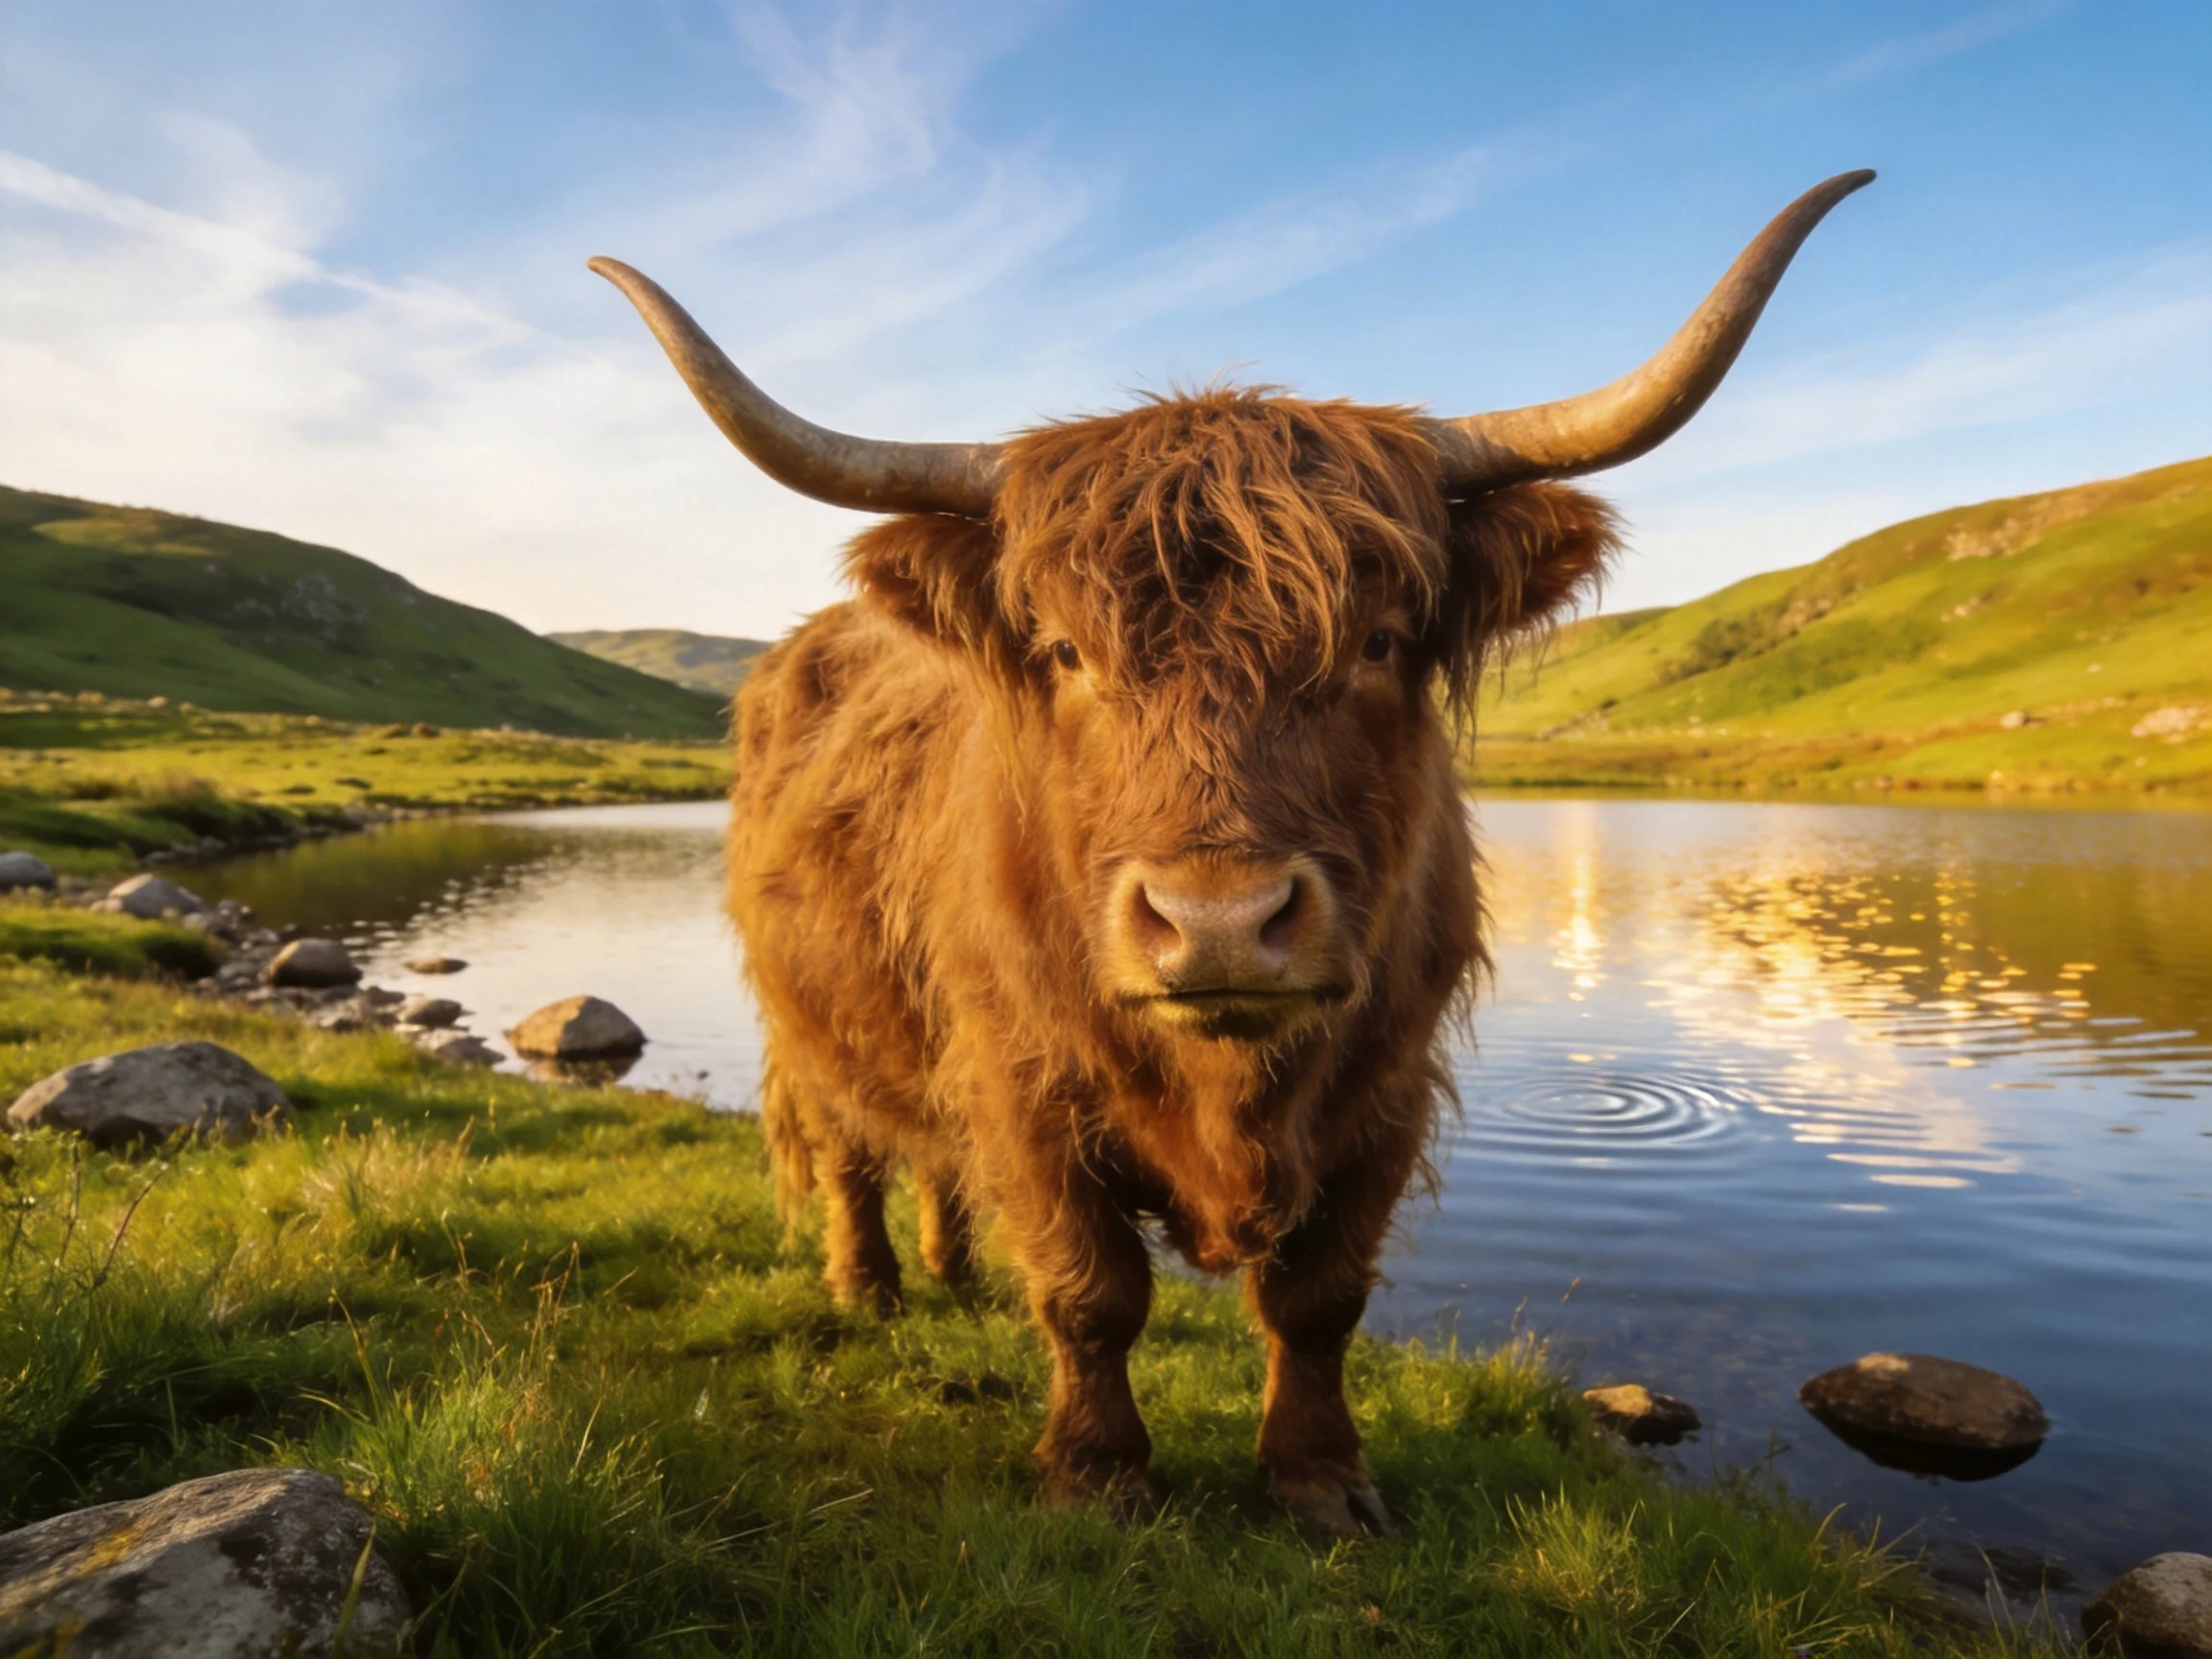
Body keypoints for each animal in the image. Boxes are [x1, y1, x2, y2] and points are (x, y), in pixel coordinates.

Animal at [591, 171, 1871, 1536]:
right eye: (1063, 650)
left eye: (1379, 639)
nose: (1217, 924)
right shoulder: (1021, 1076)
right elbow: (1090, 1290)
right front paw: (1099, 1473)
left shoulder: (1383, 1090)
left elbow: (1317, 1302)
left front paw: (1320, 1481)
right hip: (814, 1022)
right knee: (850, 1147)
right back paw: (871, 1289)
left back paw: (955, 1273)